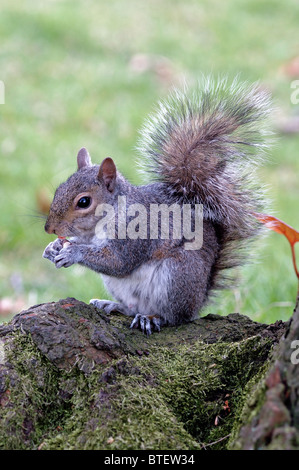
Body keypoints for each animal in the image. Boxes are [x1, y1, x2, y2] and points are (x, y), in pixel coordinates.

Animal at [43, 77, 274, 334]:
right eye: (58, 189)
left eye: (84, 202)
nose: (49, 228)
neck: (111, 215)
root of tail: (199, 298)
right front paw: (53, 247)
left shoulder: (136, 233)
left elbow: (118, 262)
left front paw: (72, 252)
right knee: (132, 307)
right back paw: (113, 305)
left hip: (177, 276)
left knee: (175, 317)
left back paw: (153, 318)